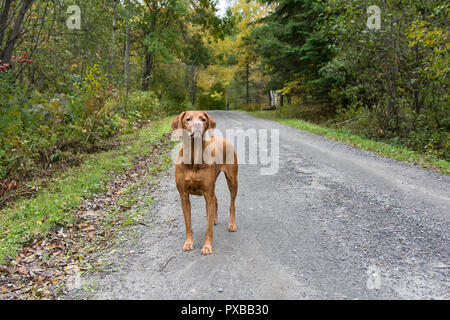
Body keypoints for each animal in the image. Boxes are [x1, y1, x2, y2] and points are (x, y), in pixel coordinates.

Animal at [171, 110, 237, 255]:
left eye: (203, 119)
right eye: (188, 119)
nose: (197, 125)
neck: (193, 157)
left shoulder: (207, 193)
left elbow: (208, 228)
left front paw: (207, 246)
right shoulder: (184, 195)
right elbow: (188, 224)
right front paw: (188, 243)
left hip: (232, 180)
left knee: (232, 204)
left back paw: (232, 224)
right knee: (215, 199)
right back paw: (214, 219)